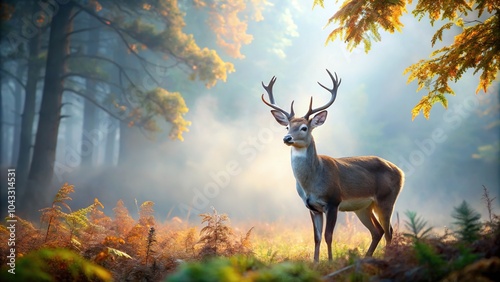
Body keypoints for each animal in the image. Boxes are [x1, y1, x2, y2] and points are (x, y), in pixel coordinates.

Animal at [260, 70, 404, 262]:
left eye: (304, 127)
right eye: (287, 127)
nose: (287, 138)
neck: (313, 182)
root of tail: (400, 171)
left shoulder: (333, 201)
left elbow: (329, 235)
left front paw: (330, 260)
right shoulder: (312, 207)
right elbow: (316, 237)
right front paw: (315, 262)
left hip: (386, 198)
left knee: (389, 231)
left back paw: (387, 258)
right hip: (364, 207)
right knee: (377, 231)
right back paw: (366, 258)